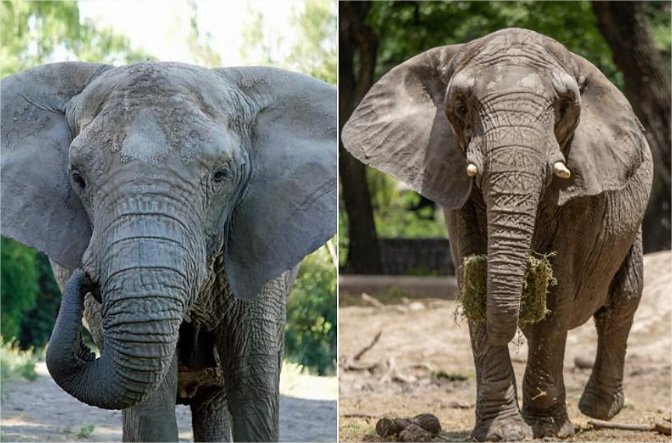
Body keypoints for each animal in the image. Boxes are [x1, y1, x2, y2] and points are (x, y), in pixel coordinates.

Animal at [342, 28, 651, 441]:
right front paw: (502, 431)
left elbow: (557, 294)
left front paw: (547, 429)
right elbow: (472, 282)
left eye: (564, 106)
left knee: (622, 301)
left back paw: (598, 409)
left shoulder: (582, 187)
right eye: (461, 106)